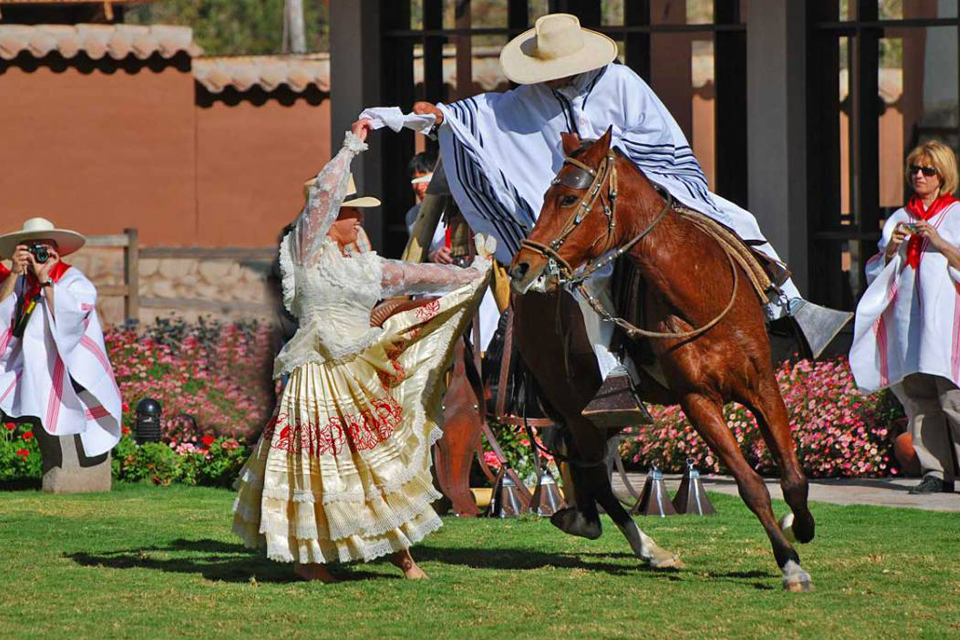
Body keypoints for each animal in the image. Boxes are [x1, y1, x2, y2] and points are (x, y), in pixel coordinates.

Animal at [506, 127, 812, 592]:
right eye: (546, 195)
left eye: (568, 199)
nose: (522, 267)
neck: (700, 293)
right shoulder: (698, 401)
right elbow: (751, 484)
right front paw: (790, 564)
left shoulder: (762, 387)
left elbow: (793, 479)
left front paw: (800, 526)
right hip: (577, 407)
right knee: (595, 474)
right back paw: (637, 542)